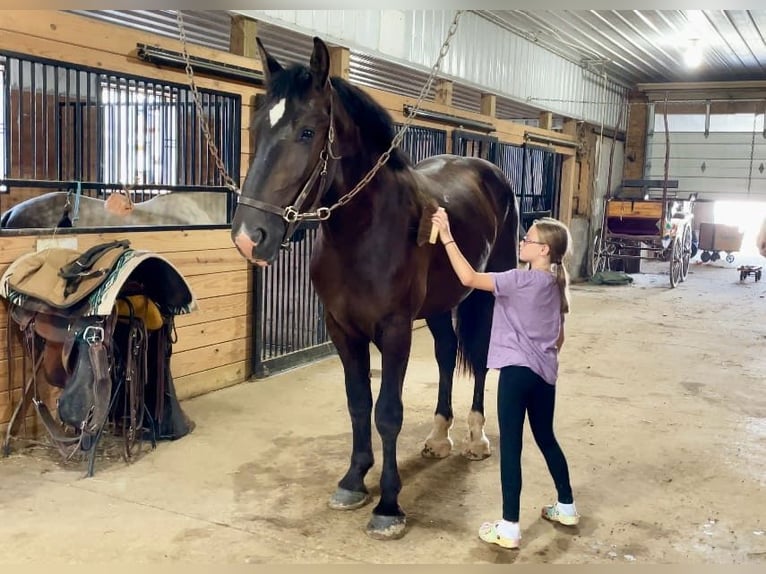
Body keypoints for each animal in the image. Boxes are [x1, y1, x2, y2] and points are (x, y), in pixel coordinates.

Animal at [232, 36, 520, 540]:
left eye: (307, 132)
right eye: (257, 127)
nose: (250, 237)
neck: (365, 231)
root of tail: (487, 169)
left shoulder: (395, 330)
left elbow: (387, 412)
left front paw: (388, 505)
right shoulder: (342, 330)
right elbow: (357, 403)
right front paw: (352, 481)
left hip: (486, 294)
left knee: (481, 358)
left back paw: (476, 437)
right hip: (439, 305)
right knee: (447, 354)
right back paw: (438, 436)